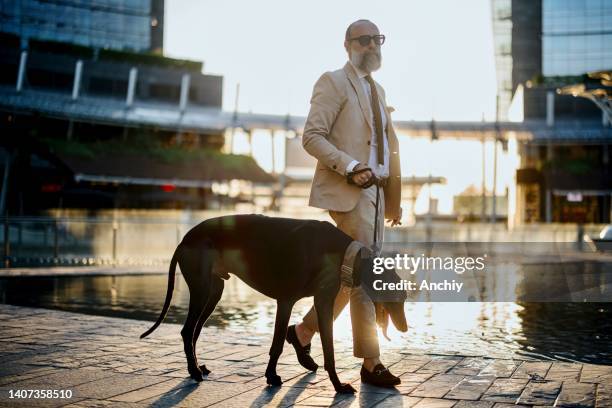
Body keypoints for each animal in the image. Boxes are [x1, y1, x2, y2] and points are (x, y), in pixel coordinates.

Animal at [139, 215, 406, 394]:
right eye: (398, 295)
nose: (404, 328)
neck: (341, 252)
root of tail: (185, 238)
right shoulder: (286, 300)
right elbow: (277, 343)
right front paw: (272, 376)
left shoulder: (323, 302)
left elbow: (329, 350)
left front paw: (338, 385)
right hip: (202, 289)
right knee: (187, 331)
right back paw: (194, 371)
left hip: (214, 291)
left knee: (194, 331)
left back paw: (197, 368)